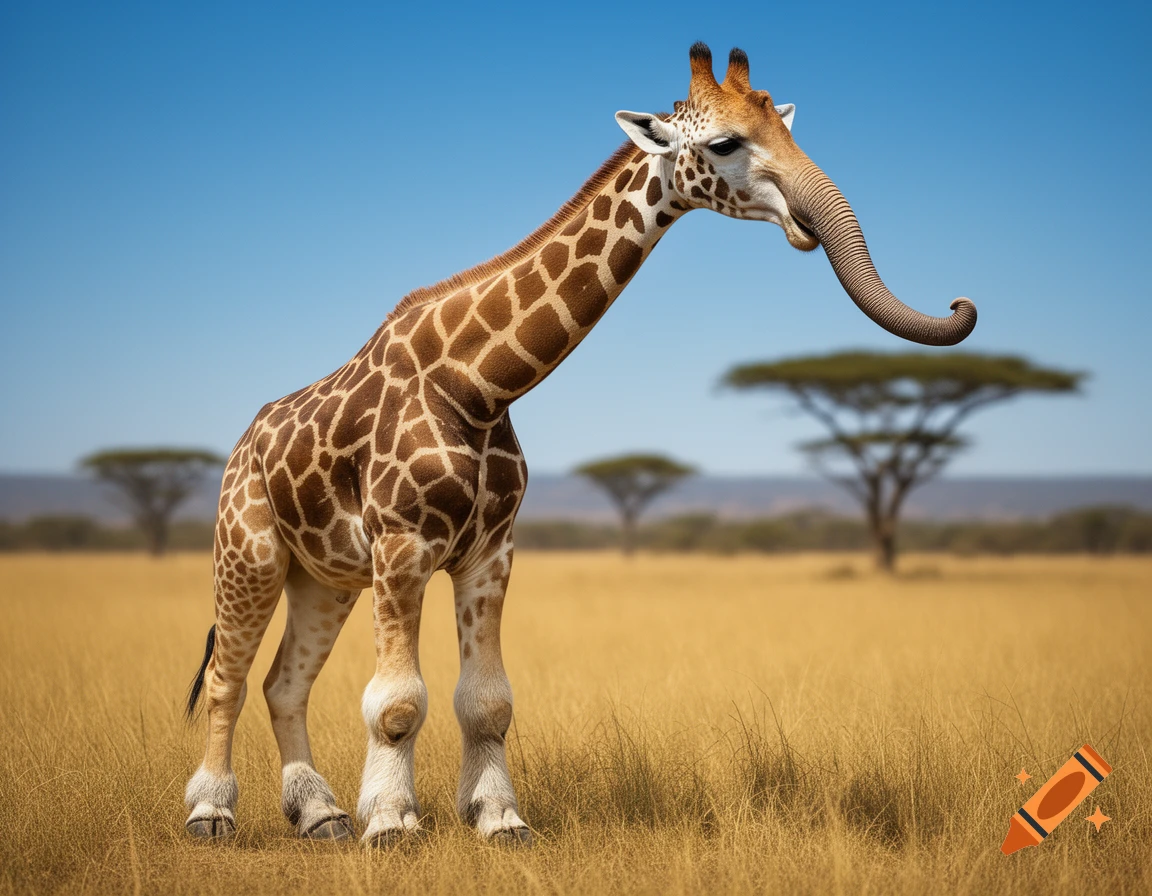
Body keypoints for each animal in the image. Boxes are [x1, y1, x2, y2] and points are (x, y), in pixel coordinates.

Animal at [183, 42, 976, 846]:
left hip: (326, 576)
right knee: (228, 678)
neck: (479, 384)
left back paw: (321, 815)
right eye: (725, 143)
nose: (960, 303)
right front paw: (394, 824)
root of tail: (241, 447)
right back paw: (212, 812)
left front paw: (498, 819)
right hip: (249, 552)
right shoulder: (404, 543)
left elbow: (488, 700)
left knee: (284, 682)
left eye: (785, 130)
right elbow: (399, 700)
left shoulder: (489, 549)